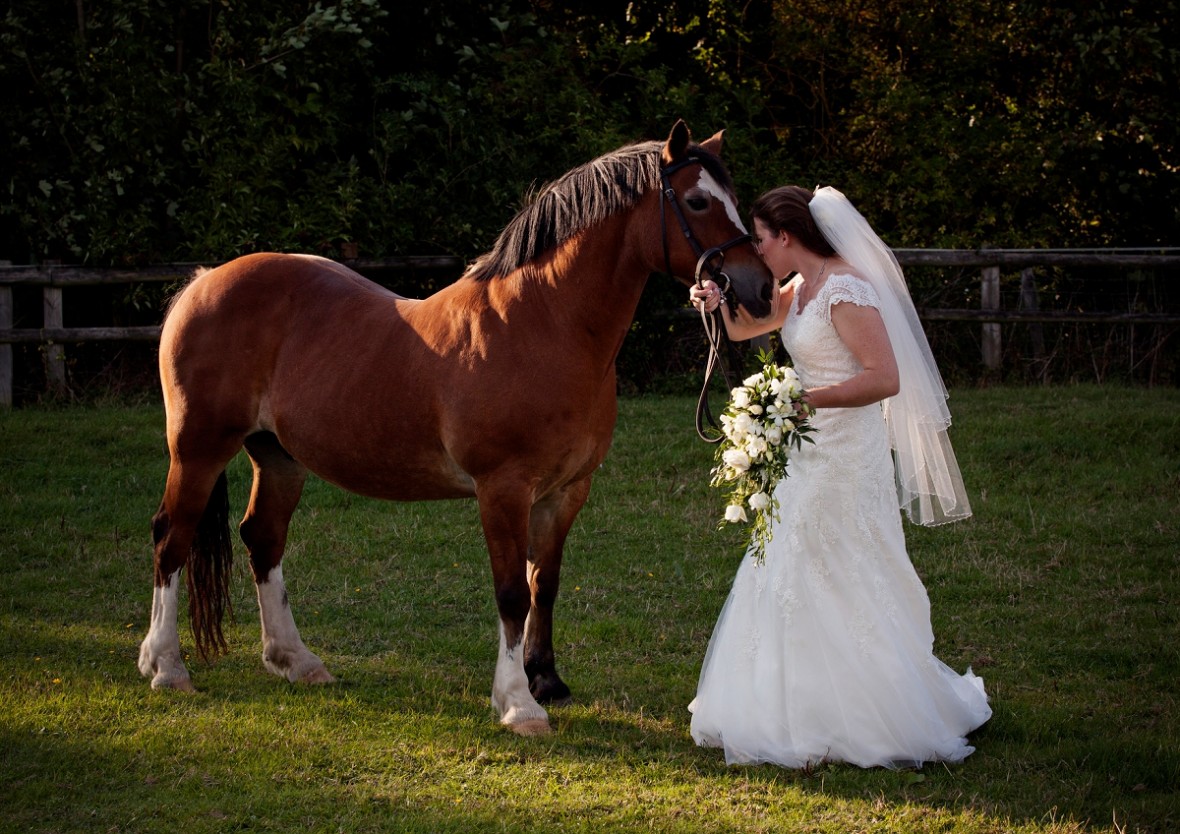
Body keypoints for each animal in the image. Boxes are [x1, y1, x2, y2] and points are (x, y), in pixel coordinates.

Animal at [135, 120, 774, 736]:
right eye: (696, 200)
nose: (761, 286)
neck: (544, 326)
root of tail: (201, 282)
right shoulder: (503, 489)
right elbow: (512, 592)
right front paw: (518, 705)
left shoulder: (566, 492)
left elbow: (544, 583)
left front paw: (546, 681)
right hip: (198, 448)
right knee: (172, 536)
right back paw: (165, 666)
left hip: (278, 457)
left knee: (262, 538)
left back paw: (296, 661)